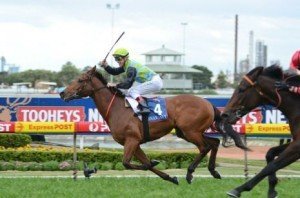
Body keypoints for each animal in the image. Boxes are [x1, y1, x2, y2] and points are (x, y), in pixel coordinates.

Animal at [59, 66, 247, 184]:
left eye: (80, 80)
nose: (62, 93)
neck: (116, 108)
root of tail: (208, 103)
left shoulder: (132, 140)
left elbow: (128, 163)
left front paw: (156, 163)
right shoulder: (133, 143)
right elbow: (145, 163)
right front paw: (170, 177)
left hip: (191, 131)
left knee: (205, 147)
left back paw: (190, 173)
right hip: (185, 132)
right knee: (214, 143)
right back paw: (213, 171)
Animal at [221, 64, 300, 196]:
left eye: (241, 89)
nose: (225, 115)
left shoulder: (298, 145)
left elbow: (272, 165)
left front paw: (239, 189)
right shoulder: (295, 141)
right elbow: (270, 153)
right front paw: (272, 189)